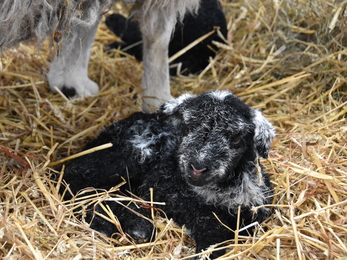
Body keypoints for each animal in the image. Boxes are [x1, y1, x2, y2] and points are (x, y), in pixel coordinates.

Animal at [61, 90, 276, 258]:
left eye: (237, 137)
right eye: (187, 127)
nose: (198, 167)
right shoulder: (176, 197)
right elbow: (211, 229)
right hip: (126, 156)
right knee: (76, 182)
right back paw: (131, 226)